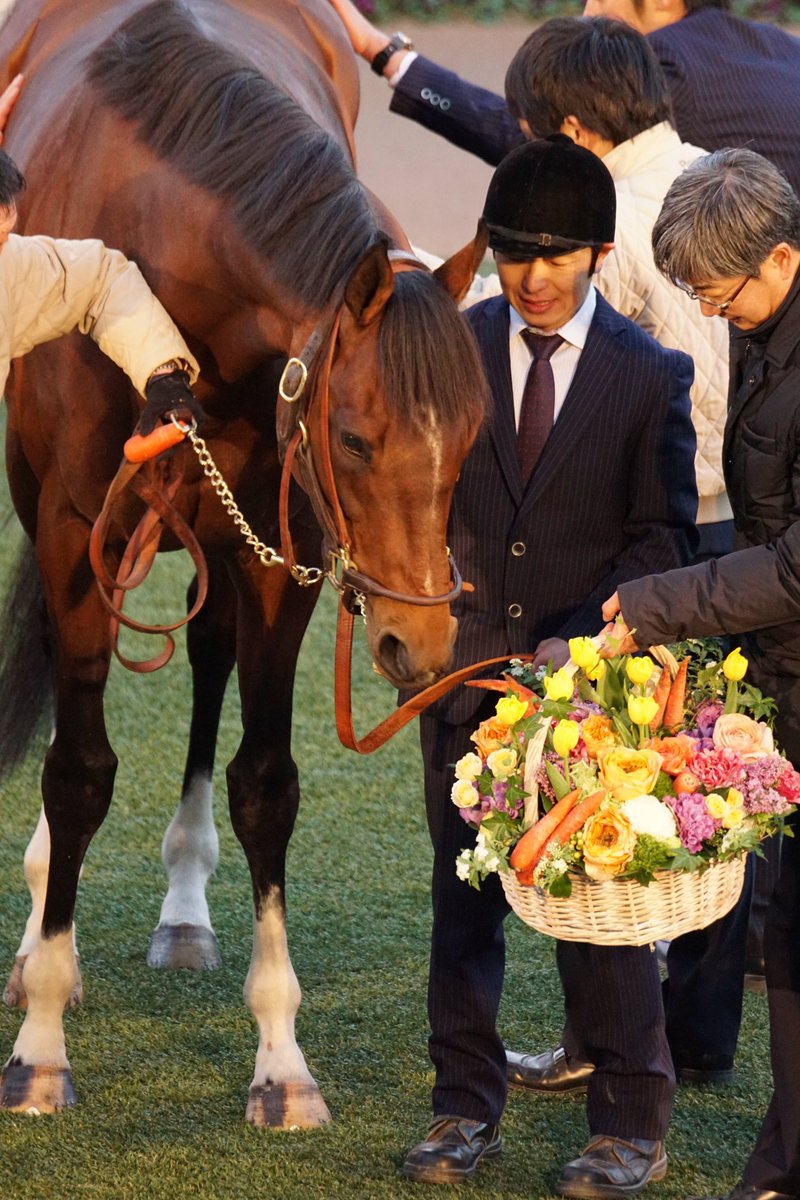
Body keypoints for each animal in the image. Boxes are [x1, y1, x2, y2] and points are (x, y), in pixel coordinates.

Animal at [0, 0, 489, 1123]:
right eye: (354, 437)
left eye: (476, 433)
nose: (420, 639)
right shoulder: (75, 533)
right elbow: (78, 771)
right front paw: (40, 1042)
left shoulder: (280, 549)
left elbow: (265, 782)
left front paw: (281, 1059)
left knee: (210, 648)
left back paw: (184, 904)